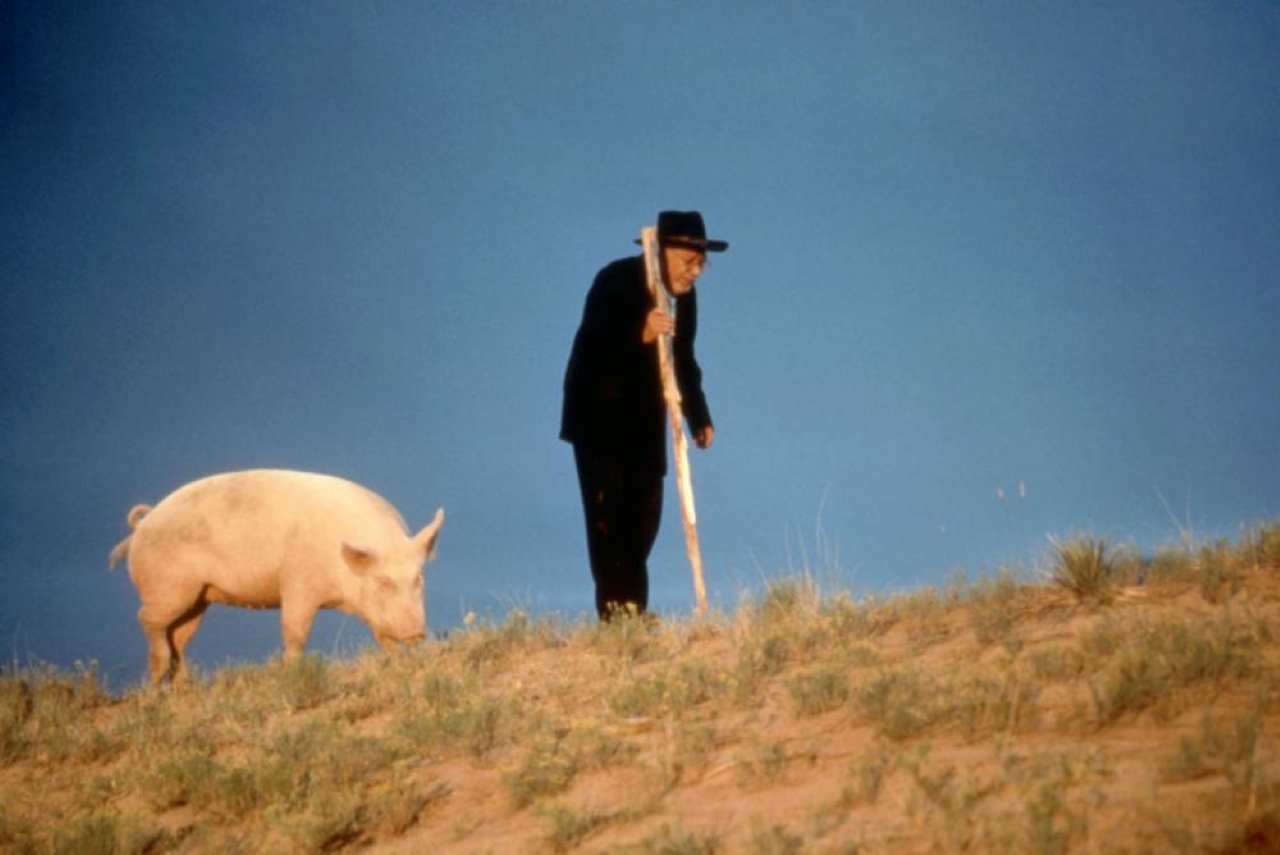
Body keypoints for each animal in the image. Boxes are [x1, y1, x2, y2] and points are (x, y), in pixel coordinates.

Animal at [107, 468, 445, 680]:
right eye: (384, 581)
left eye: (419, 578)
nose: (417, 631)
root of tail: (141, 525)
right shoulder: (298, 583)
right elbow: (294, 632)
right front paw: (292, 672)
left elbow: (379, 633)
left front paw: (399, 661)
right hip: (170, 587)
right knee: (147, 620)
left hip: (198, 598)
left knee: (178, 636)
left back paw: (182, 688)